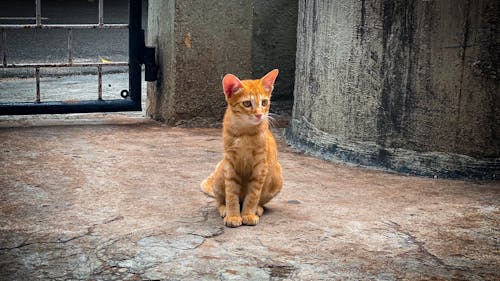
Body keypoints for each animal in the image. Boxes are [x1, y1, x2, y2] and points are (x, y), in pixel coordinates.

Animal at [201, 69, 284, 226]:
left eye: (264, 102)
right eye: (246, 103)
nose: (259, 114)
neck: (245, 132)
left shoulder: (260, 167)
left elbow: (253, 195)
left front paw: (248, 214)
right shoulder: (230, 164)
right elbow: (231, 194)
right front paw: (233, 216)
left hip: (276, 176)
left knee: (260, 201)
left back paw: (257, 209)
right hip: (220, 172)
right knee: (219, 200)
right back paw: (224, 208)